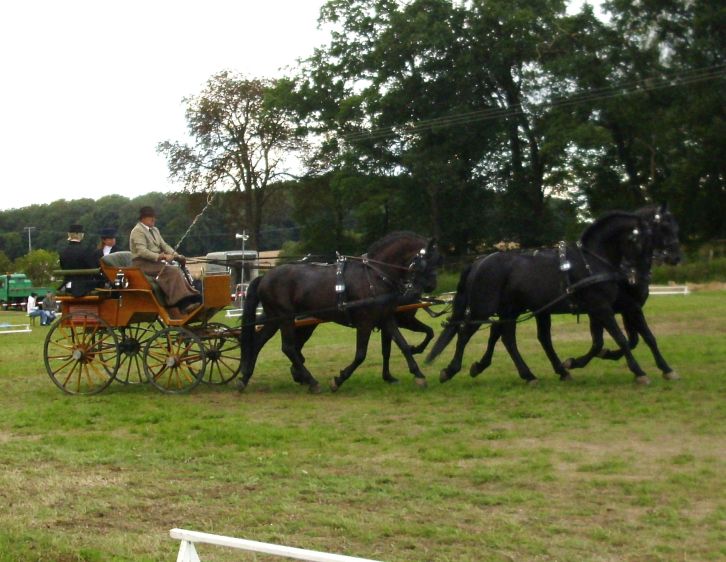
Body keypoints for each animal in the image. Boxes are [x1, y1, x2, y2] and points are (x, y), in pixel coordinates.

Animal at [239, 231, 444, 390]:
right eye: (426, 260)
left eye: (438, 260)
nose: (431, 286)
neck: (375, 275)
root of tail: (265, 277)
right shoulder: (365, 322)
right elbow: (361, 354)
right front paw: (339, 380)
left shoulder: (386, 318)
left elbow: (402, 345)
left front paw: (418, 374)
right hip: (285, 318)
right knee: (289, 347)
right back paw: (311, 382)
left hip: (275, 318)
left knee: (258, 342)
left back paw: (245, 378)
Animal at [426, 212, 656, 382]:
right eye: (642, 239)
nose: (643, 276)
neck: (593, 261)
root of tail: (479, 262)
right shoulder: (602, 307)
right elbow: (620, 338)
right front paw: (639, 370)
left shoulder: (607, 308)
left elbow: (617, 339)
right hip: (484, 307)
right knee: (466, 332)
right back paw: (451, 370)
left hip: (509, 309)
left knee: (505, 336)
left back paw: (528, 374)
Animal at [564, 203, 684, 378]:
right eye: (664, 227)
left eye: (676, 227)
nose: (676, 257)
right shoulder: (625, 308)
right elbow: (633, 339)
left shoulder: (621, 309)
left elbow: (627, 340)